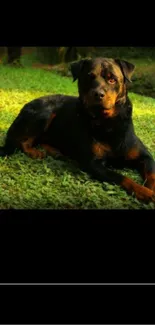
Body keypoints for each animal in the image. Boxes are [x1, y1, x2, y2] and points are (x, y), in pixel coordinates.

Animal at [0, 57, 155, 201]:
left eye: (112, 80)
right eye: (89, 77)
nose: (98, 94)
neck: (108, 123)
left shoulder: (145, 155)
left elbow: (151, 173)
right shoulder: (93, 163)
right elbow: (121, 177)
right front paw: (145, 192)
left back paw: (55, 151)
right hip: (46, 112)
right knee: (22, 141)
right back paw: (35, 152)